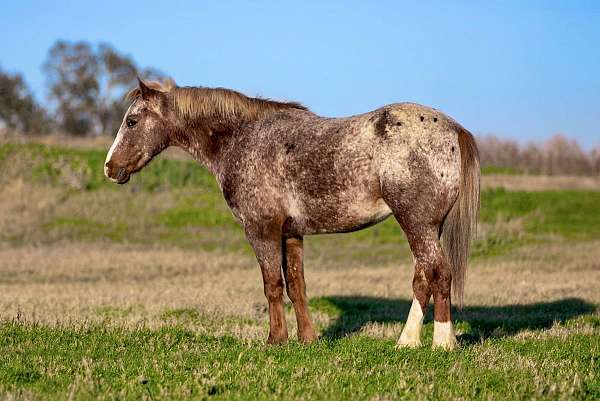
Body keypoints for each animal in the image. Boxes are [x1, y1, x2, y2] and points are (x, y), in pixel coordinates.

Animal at [103, 77, 478, 346]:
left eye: (132, 121)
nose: (109, 168)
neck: (243, 139)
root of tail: (453, 128)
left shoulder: (262, 230)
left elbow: (272, 284)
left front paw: (275, 340)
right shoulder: (292, 233)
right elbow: (296, 285)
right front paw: (307, 339)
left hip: (417, 223)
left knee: (438, 274)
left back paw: (441, 343)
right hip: (427, 227)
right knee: (423, 278)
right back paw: (407, 342)